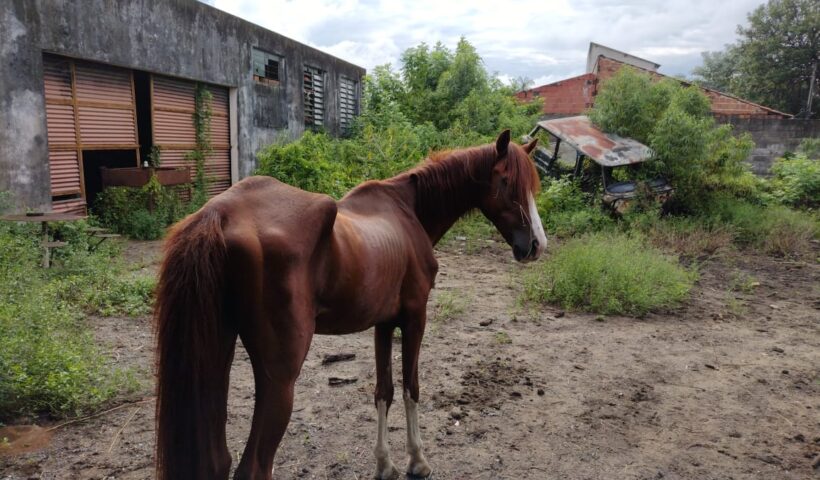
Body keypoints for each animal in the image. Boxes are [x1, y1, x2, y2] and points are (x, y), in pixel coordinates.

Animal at [154, 130, 546, 480]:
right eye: (507, 182)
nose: (536, 245)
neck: (408, 211)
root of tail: (220, 214)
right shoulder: (415, 317)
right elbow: (411, 388)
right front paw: (417, 461)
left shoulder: (384, 323)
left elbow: (384, 391)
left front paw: (384, 465)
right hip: (279, 378)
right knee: (254, 468)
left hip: (216, 355)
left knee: (216, 462)